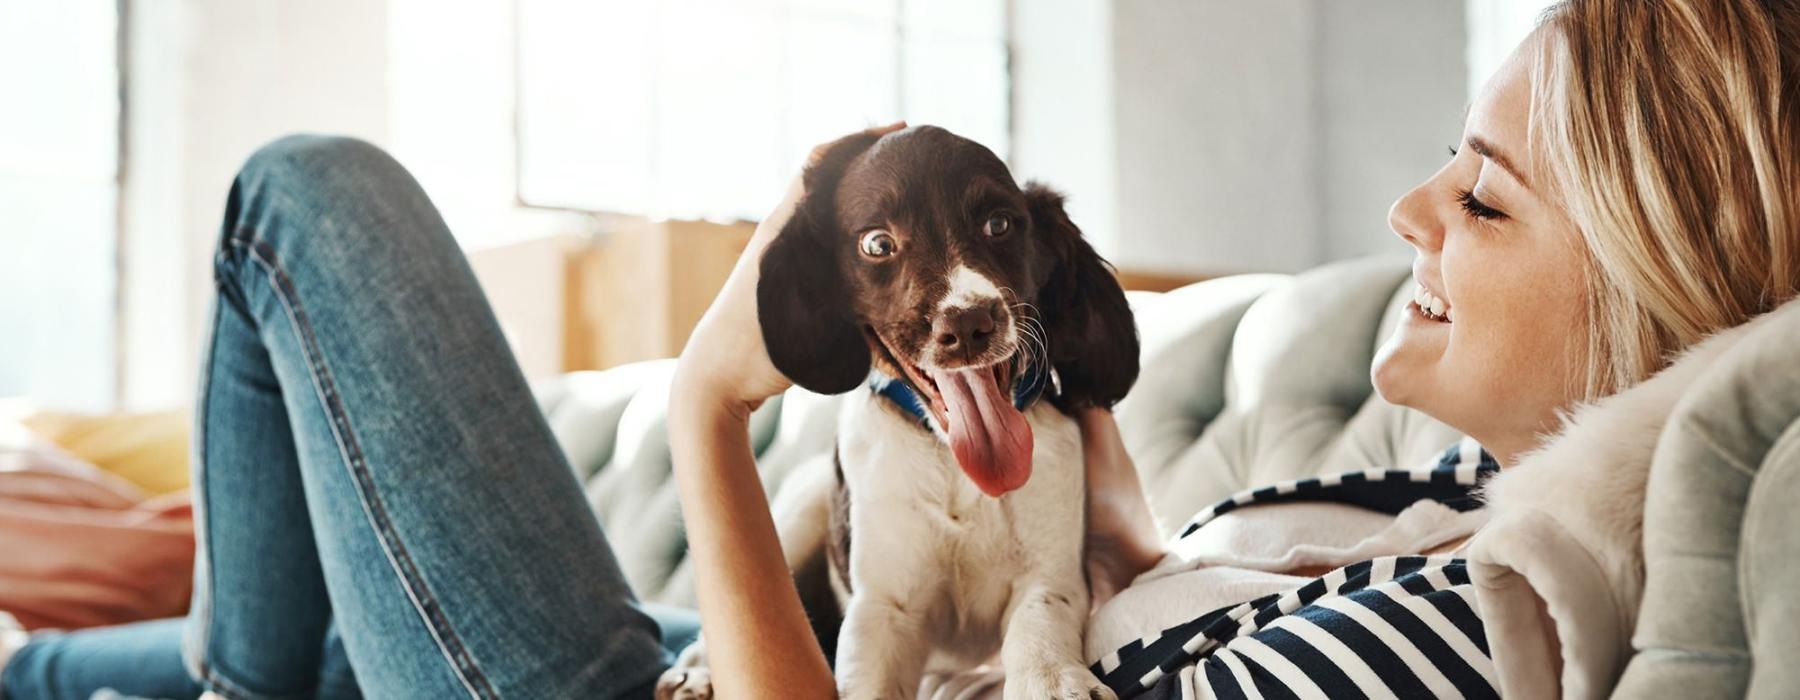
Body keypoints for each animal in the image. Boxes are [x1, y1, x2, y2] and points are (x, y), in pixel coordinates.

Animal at [658, 125, 1137, 698]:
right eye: (877, 244)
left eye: (999, 224)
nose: (969, 323)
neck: (952, 462)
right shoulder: (883, 611)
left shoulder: (1051, 575)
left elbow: (1039, 628)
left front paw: (1053, 681)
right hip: (801, 506)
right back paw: (697, 668)